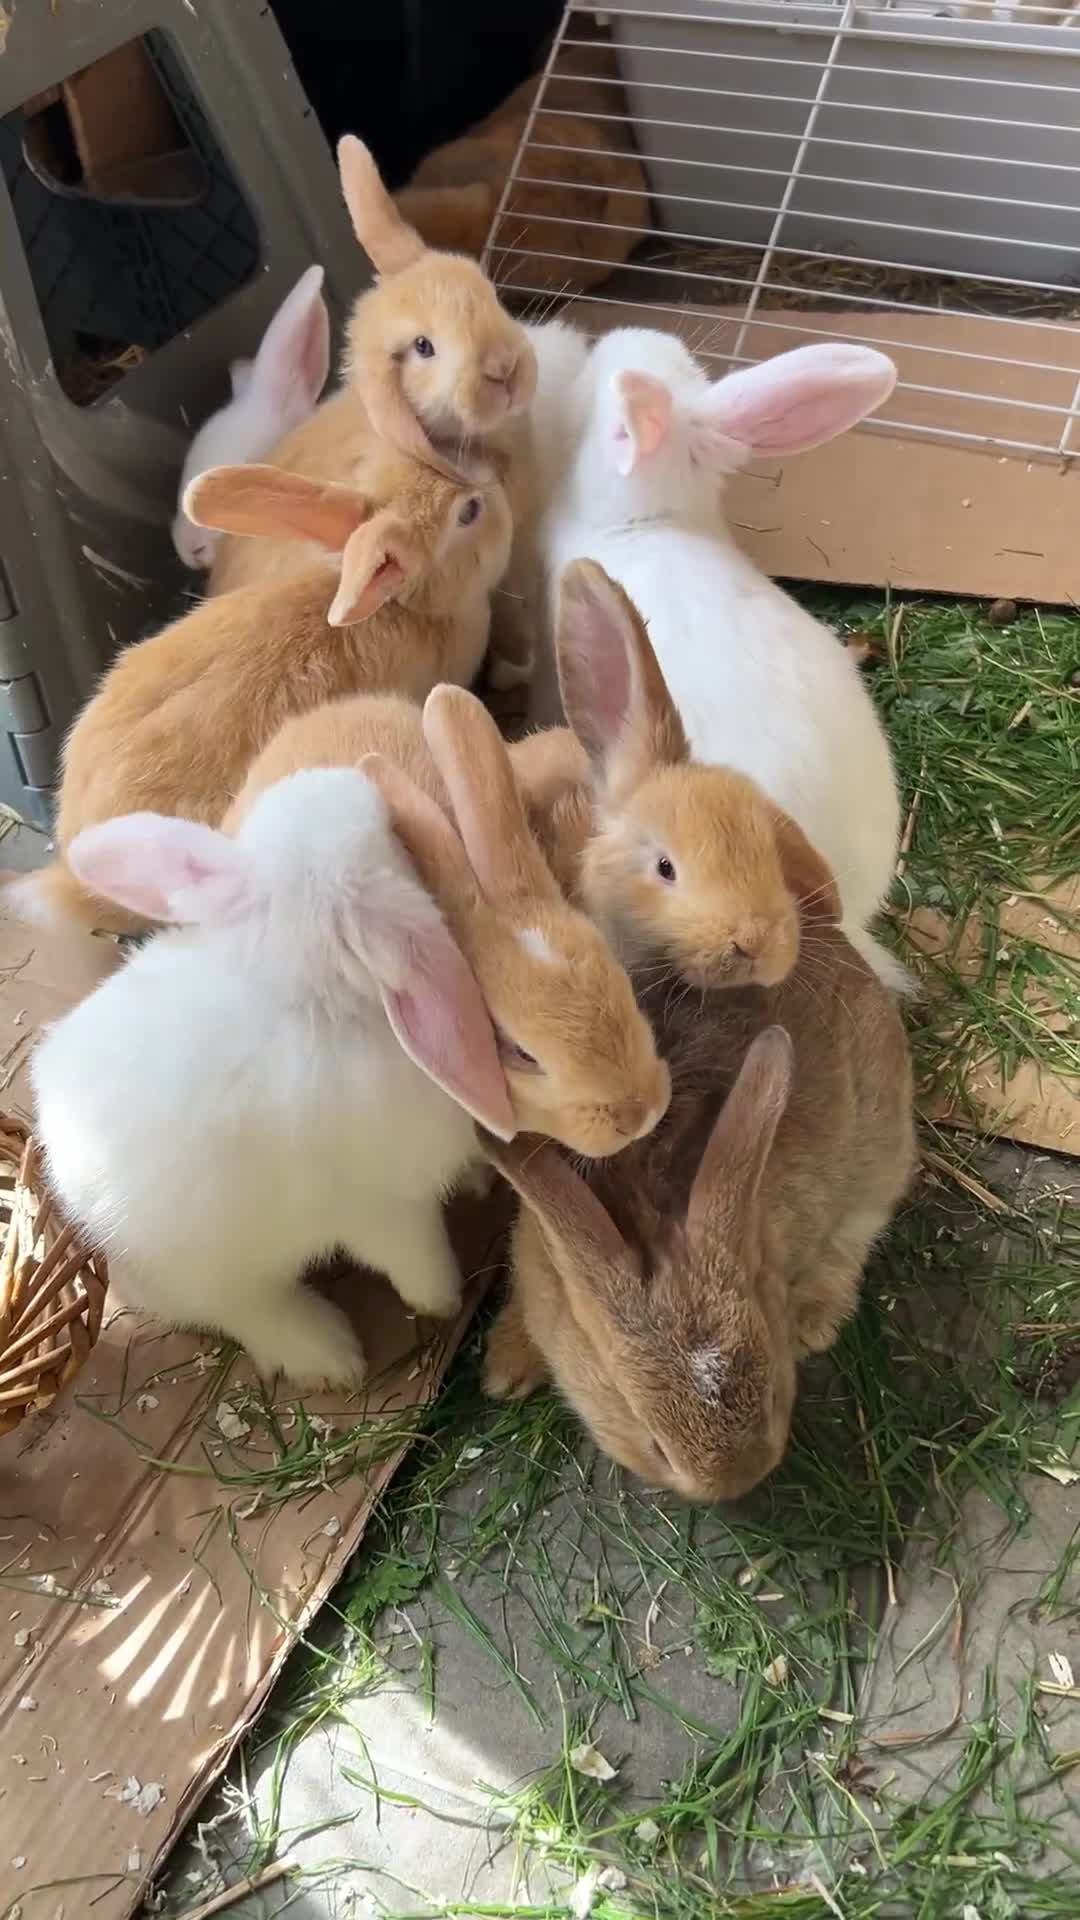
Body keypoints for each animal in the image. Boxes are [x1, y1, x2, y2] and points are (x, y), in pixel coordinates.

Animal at [31, 769, 519, 1389]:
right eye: (386, 836)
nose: (349, 775)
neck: (304, 990)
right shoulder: (381, 1207)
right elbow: (414, 1256)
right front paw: (443, 1301)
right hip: (219, 1273)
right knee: (245, 1312)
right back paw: (329, 1356)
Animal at [480, 891, 916, 1504]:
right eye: (656, 1446)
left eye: (776, 1397)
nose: (734, 1485)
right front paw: (503, 1372)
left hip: (879, 1159)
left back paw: (813, 1321)